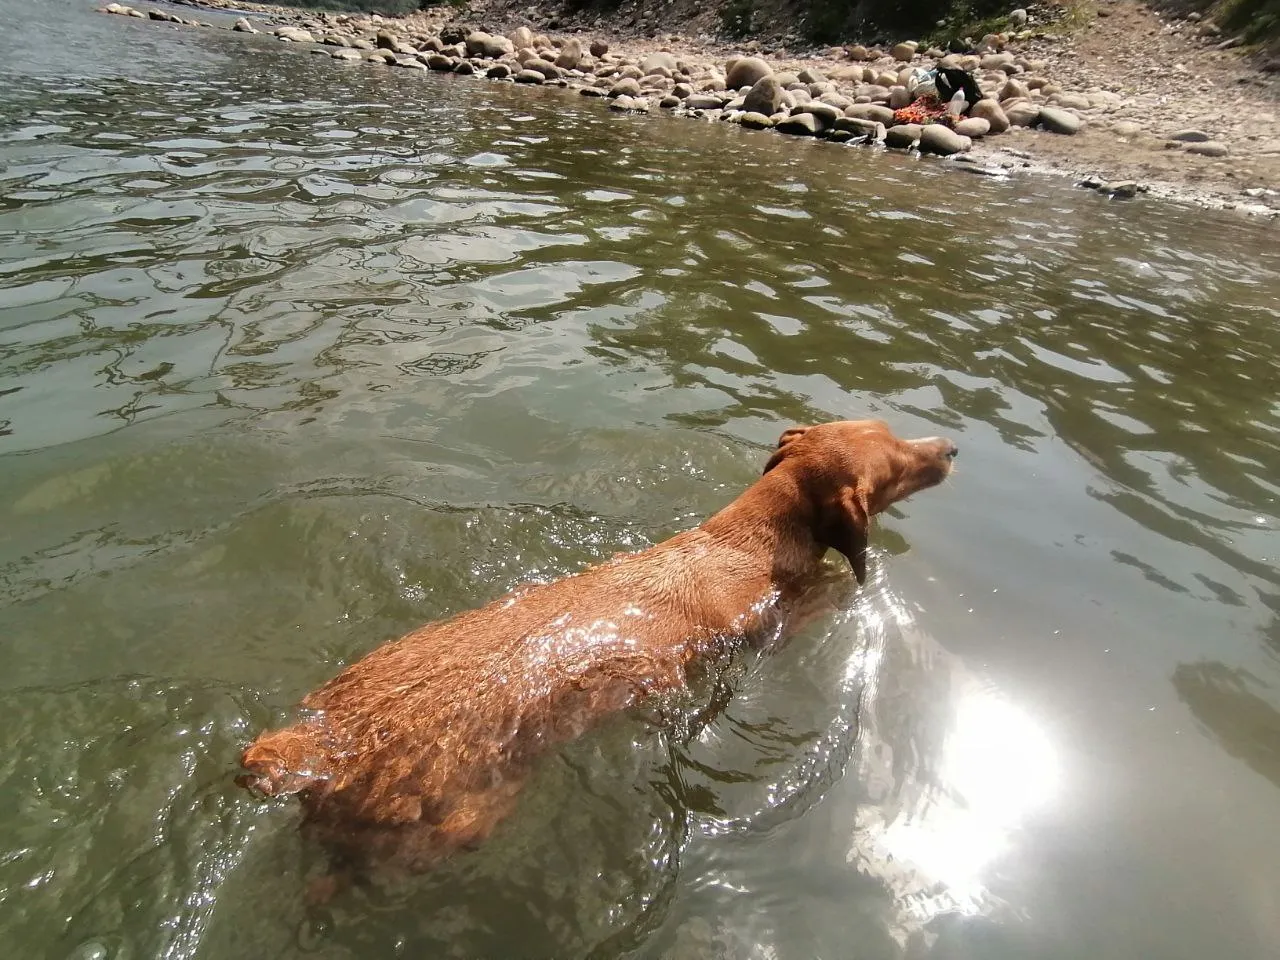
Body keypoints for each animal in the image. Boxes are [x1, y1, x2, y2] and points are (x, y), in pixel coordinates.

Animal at [241, 419, 962, 880]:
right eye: (898, 466)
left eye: (893, 432)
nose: (951, 447)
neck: (742, 540)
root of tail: (318, 751)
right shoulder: (775, 624)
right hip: (457, 824)